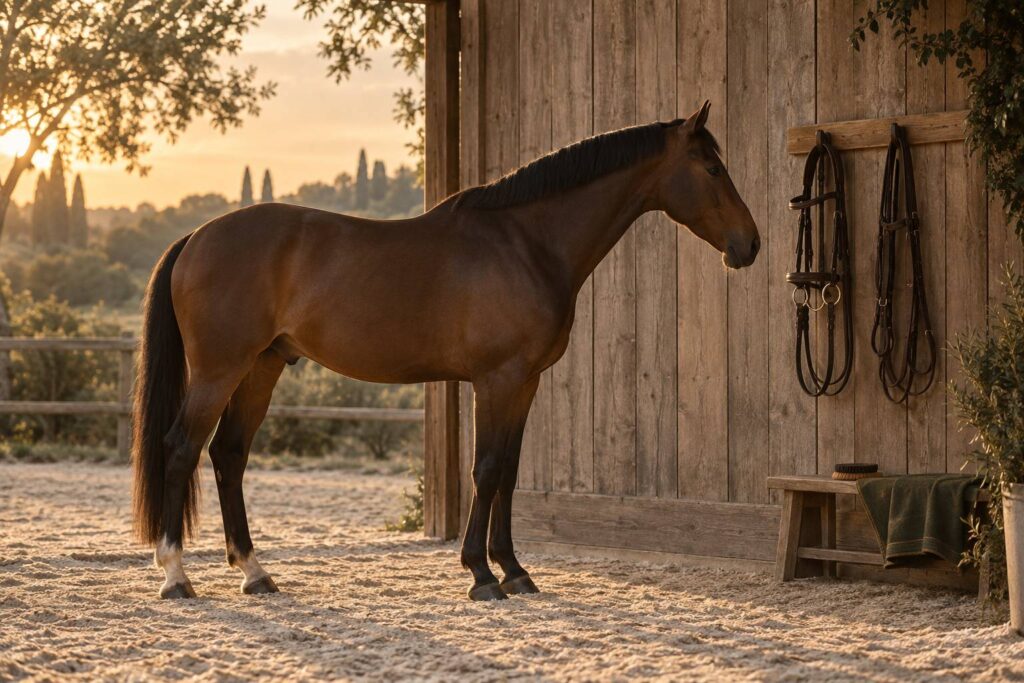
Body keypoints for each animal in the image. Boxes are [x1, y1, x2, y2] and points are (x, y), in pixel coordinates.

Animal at [132, 100, 759, 601]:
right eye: (711, 167)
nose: (749, 245)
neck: (526, 245)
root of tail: (197, 237)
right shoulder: (496, 379)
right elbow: (486, 468)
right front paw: (481, 575)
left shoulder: (525, 382)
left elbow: (508, 470)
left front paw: (515, 570)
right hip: (219, 370)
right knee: (182, 448)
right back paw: (176, 576)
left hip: (261, 367)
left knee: (228, 455)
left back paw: (256, 573)